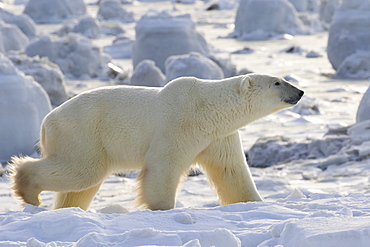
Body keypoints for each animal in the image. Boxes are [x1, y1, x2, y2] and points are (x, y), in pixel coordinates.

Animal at [9, 74, 304, 210]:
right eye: (277, 82)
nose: (300, 91)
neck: (208, 107)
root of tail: (46, 121)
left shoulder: (218, 136)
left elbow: (231, 171)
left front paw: (254, 203)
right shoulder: (179, 123)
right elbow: (163, 167)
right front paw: (162, 208)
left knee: (81, 184)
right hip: (83, 132)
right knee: (81, 171)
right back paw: (29, 192)